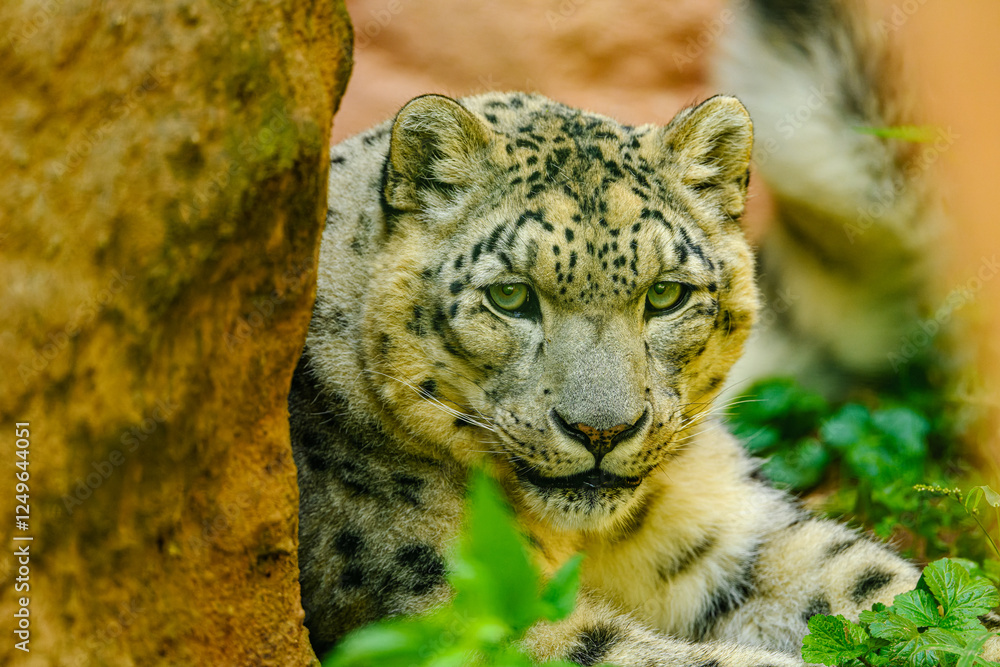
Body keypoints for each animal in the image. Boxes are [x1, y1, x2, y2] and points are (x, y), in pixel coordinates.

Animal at [290, 0, 998, 664]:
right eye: (510, 296)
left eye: (665, 294)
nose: (601, 432)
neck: (587, 540)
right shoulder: (474, 611)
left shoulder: (734, 526)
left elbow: (874, 584)